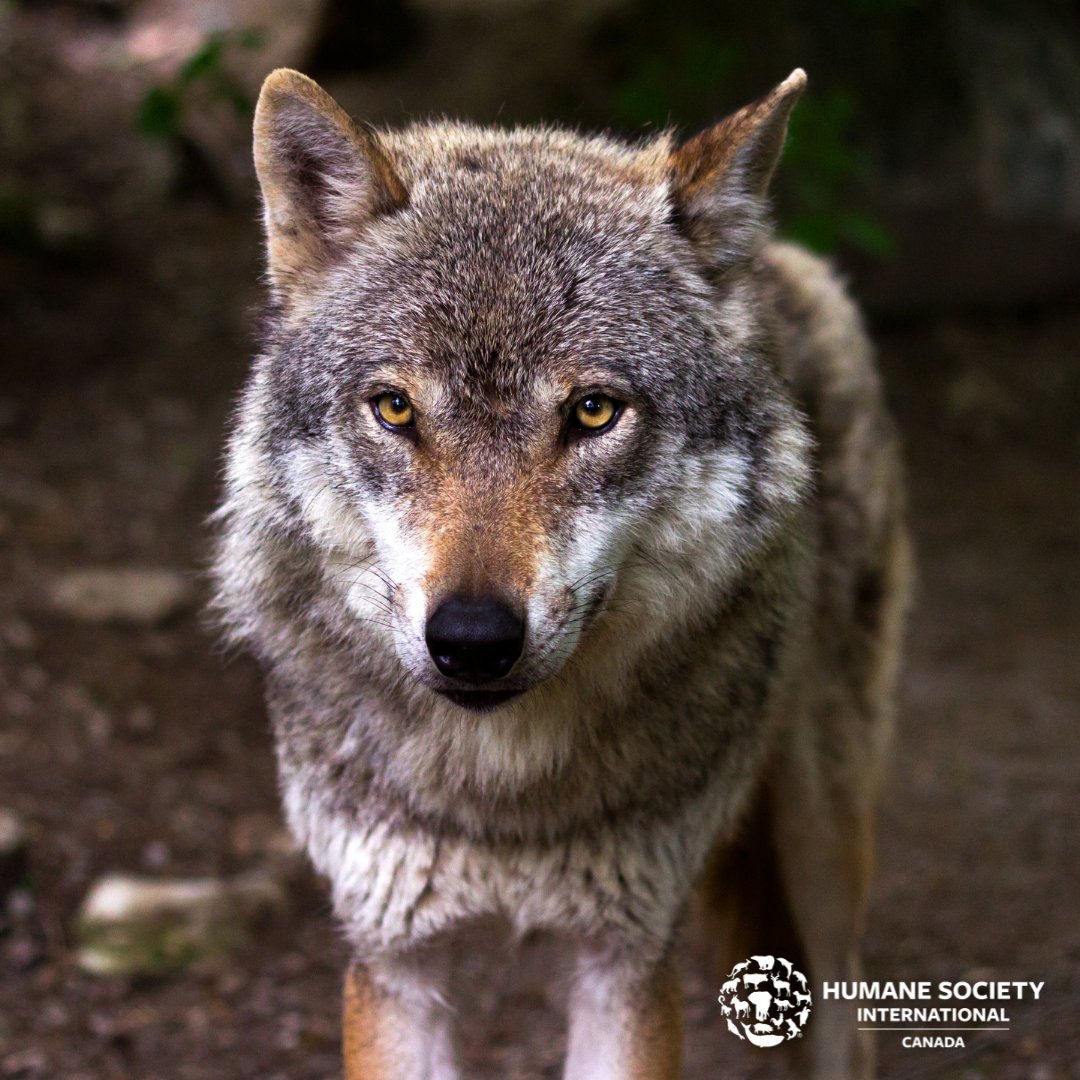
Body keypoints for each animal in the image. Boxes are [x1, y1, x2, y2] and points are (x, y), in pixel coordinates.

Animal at [212, 65, 910, 1079]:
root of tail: (776, 258)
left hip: (825, 838)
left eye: (591, 412)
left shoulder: (625, 960)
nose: (472, 640)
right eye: (395, 408)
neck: (503, 798)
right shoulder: (394, 960)